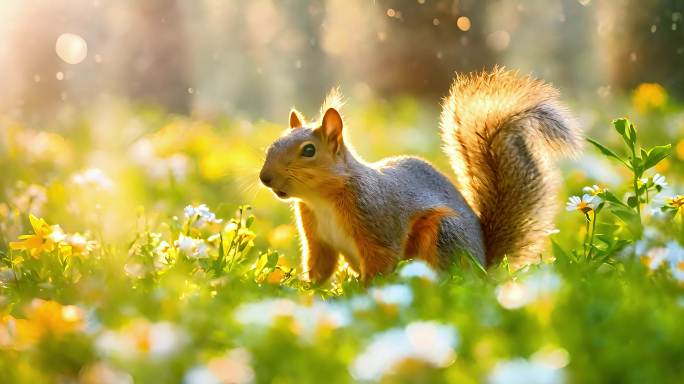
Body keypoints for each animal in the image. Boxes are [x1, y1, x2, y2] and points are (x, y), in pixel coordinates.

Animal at [260, 68, 580, 282]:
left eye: (309, 150)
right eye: (274, 142)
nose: (265, 178)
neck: (322, 199)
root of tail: (483, 264)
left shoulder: (376, 220)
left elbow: (381, 261)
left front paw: (364, 295)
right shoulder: (317, 236)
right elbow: (321, 268)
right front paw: (304, 291)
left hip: (443, 233)